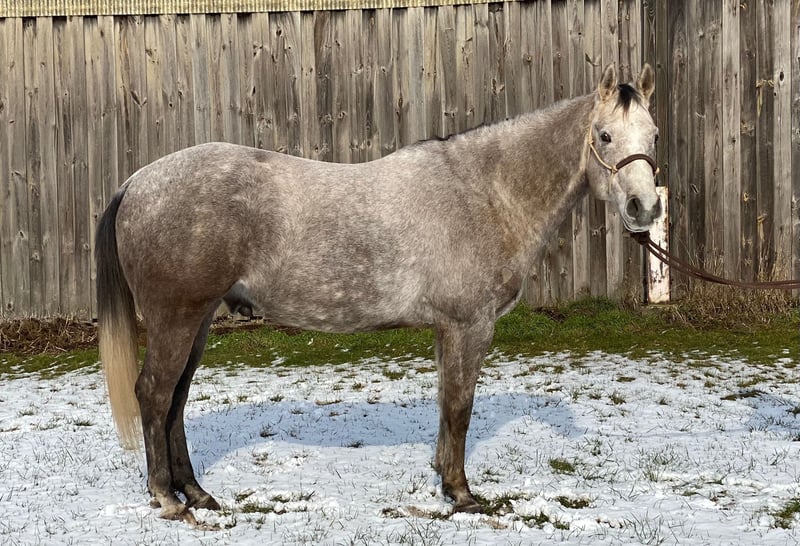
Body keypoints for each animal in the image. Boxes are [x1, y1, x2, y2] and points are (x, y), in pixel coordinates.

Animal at [95, 63, 661, 523]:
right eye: (604, 135)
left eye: (653, 135)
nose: (645, 208)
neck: (485, 192)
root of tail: (136, 182)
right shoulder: (470, 326)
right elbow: (461, 406)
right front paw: (463, 495)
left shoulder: (447, 330)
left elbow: (446, 404)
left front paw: (444, 480)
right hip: (176, 319)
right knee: (155, 394)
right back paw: (167, 498)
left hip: (198, 322)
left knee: (176, 400)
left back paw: (197, 493)